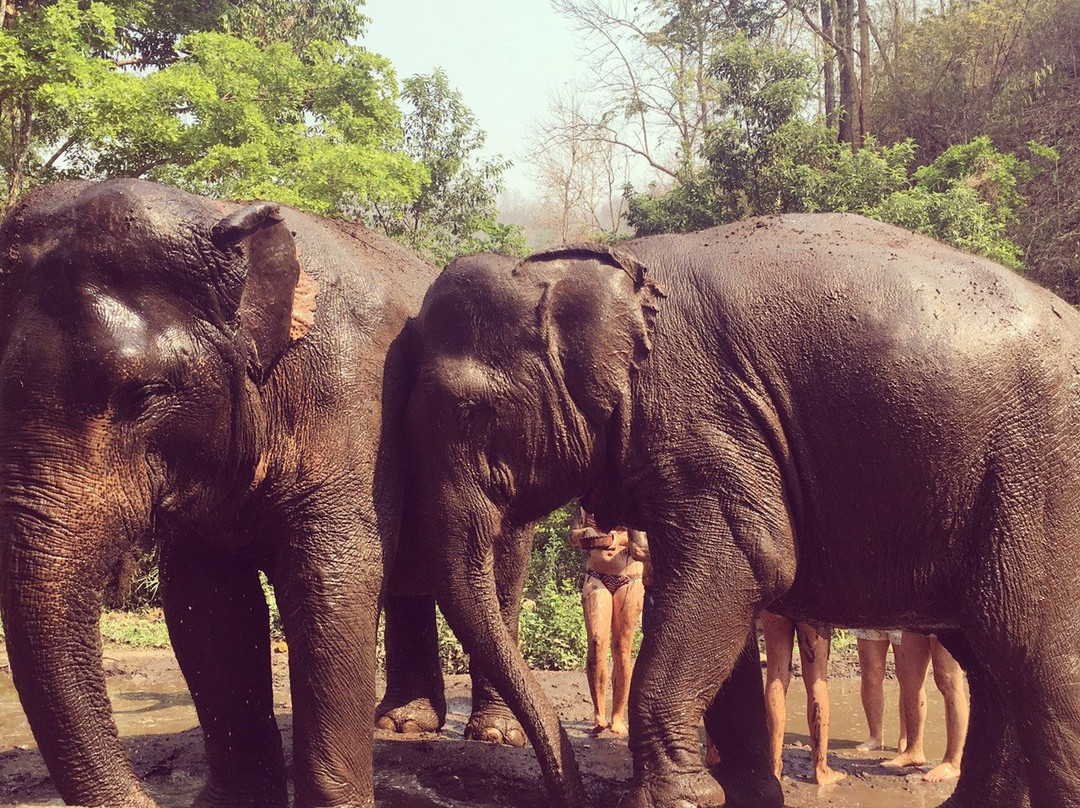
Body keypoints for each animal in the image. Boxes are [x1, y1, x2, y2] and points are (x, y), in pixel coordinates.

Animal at [0, 177, 524, 808]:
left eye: (143, 394)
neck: (218, 215)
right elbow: (208, 603)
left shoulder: (353, 397)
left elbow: (332, 578)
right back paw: (401, 723)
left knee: (498, 570)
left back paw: (494, 734)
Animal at [406, 213, 1080, 808]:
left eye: (471, 411)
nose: (567, 795)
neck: (590, 267)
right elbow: (712, 595)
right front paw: (742, 793)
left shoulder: (706, 420)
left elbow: (738, 569)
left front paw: (675, 801)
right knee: (993, 664)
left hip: (1039, 479)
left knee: (1032, 654)